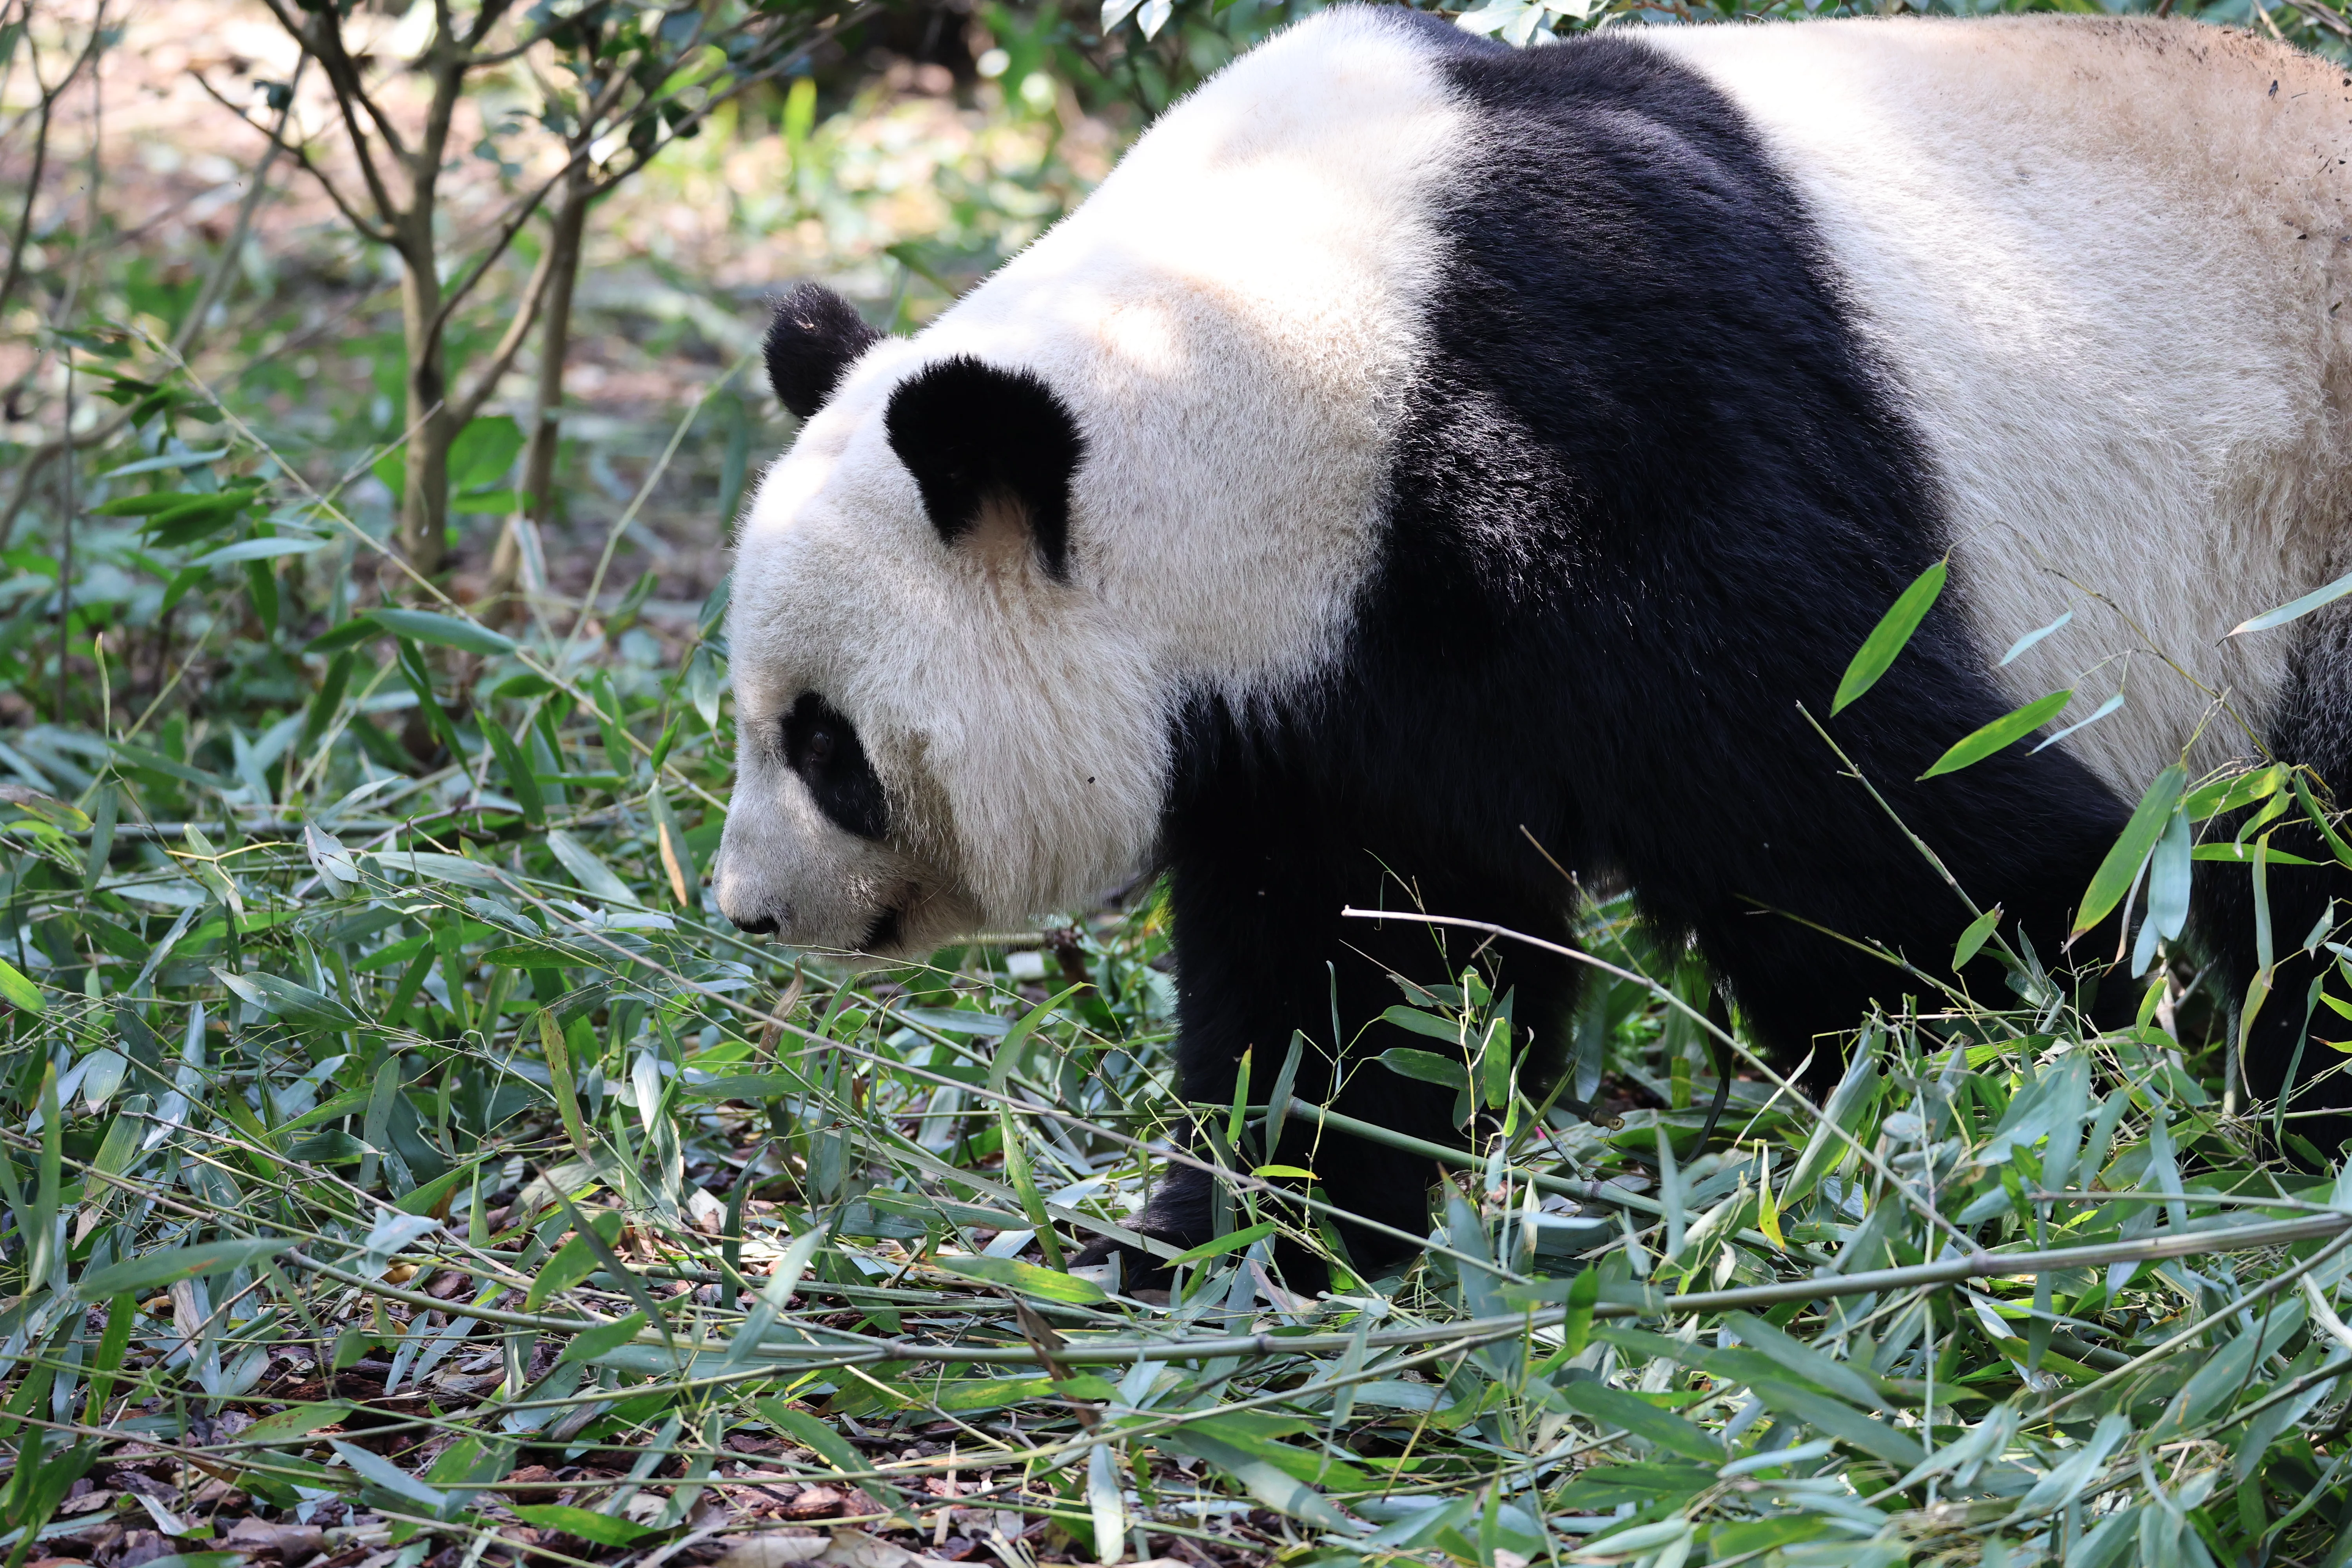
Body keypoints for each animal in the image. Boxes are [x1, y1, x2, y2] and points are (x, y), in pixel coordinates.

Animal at [715, 5, 2352, 1285]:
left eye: (828, 747)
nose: (749, 911)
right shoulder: (1342, 685)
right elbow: (1354, 973)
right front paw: (1242, 1236)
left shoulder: (1614, 434)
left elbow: (1906, 844)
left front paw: (1977, 1125)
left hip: (2303, 533)